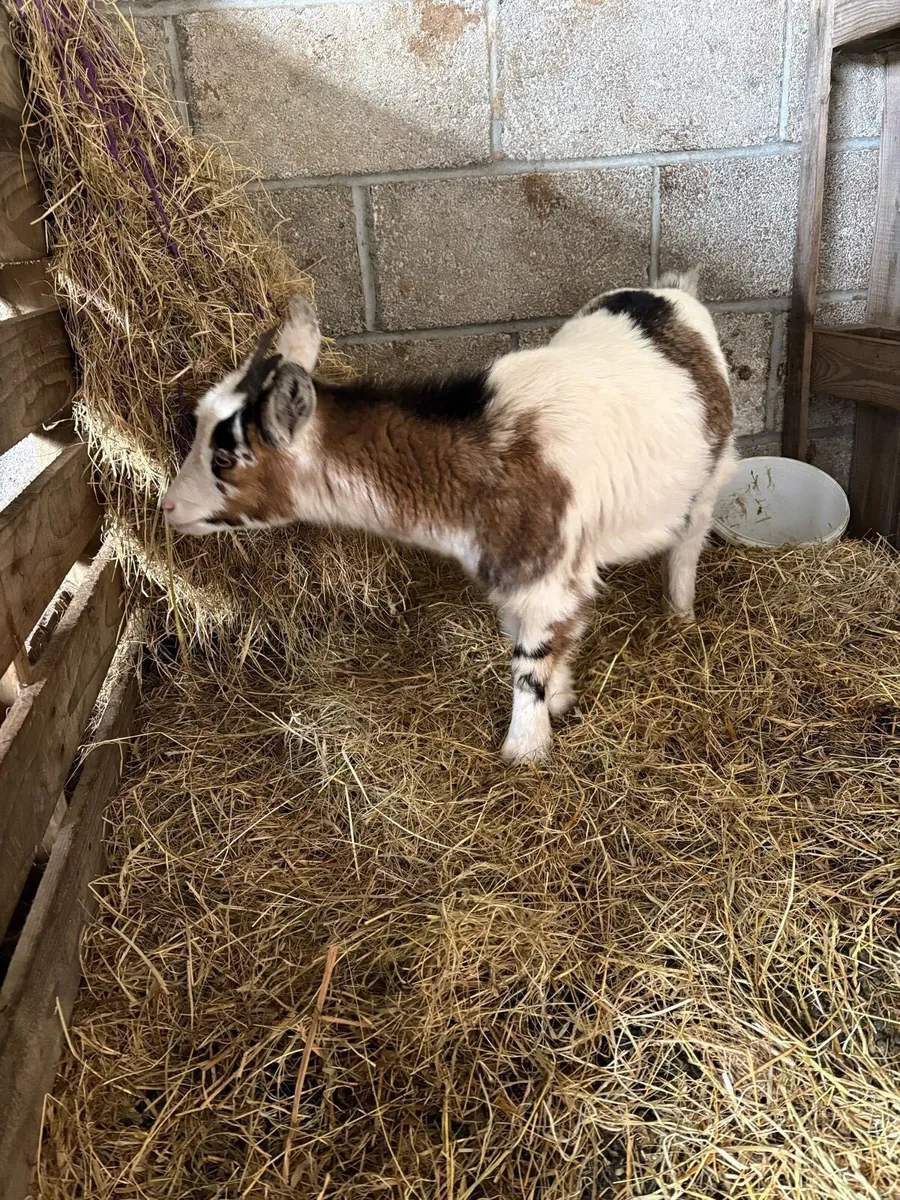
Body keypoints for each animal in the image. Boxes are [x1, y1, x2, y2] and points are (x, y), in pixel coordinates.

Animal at [164, 271, 736, 764]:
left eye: (223, 457)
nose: (168, 507)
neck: (488, 453)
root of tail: (671, 294)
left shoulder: (545, 575)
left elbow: (529, 661)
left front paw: (525, 750)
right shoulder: (515, 575)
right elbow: (543, 636)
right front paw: (560, 697)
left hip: (712, 473)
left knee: (689, 542)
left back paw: (681, 614)